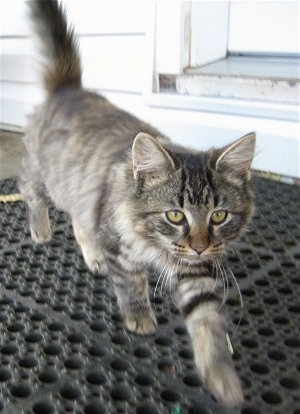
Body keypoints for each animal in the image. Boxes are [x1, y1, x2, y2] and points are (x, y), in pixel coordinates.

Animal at [20, 0, 255, 404]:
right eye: (175, 215)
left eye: (219, 216)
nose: (199, 246)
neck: (154, 244)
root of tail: (68, 89)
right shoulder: (121, 248)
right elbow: (131, 287)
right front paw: (140, 317)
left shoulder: (196, 272)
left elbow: (207, 322)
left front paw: (221, 375)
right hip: (45, 177)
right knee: (31, 192)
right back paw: (40, 229)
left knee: (80, 223)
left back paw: (92, 256)